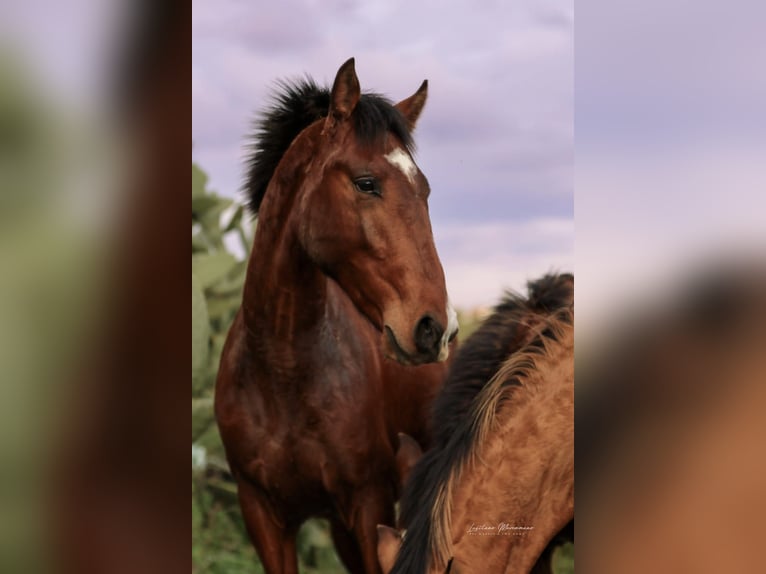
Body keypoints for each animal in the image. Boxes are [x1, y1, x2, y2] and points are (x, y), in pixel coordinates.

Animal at [213, 55, 460, 574]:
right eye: (366, 183)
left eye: (425, 190)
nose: (436, 327)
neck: (282, 373)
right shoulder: (262, 515)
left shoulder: (368, 505)